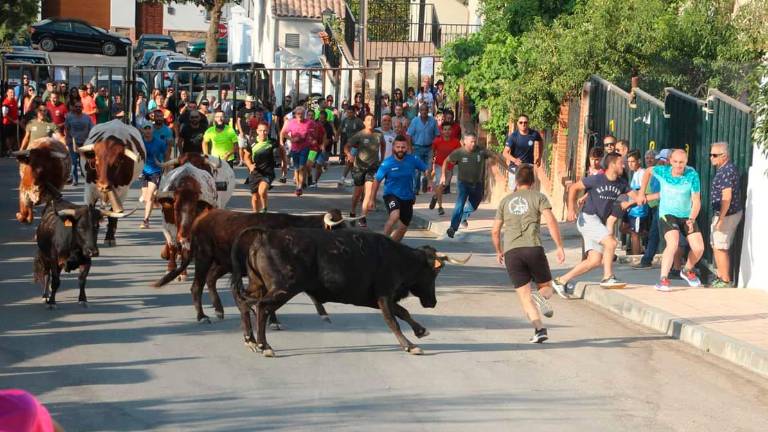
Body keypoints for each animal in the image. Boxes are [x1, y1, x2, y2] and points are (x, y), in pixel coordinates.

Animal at [154, 209, 364, 324]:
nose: (352, 245)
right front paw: (273, 321)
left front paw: (324, 315)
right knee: (197, 286)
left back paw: (219, 310)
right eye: (338, 228)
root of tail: (202, 218)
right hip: (204, 257)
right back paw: (202, 316)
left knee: (211, 279)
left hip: (224, 263)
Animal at [230, 228, 468, 356]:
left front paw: (420, 331)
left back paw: (250, 340)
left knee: (244, 302)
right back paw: (264, 345)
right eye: (435, 272)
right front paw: (410, 345)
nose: (432, 302)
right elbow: (393, 320)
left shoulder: (376, 298)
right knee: (262, 306)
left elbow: (403, 312)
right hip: (284, 288)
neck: (399, 258)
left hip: (258, 284)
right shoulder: (384, 295)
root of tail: (264, 235)